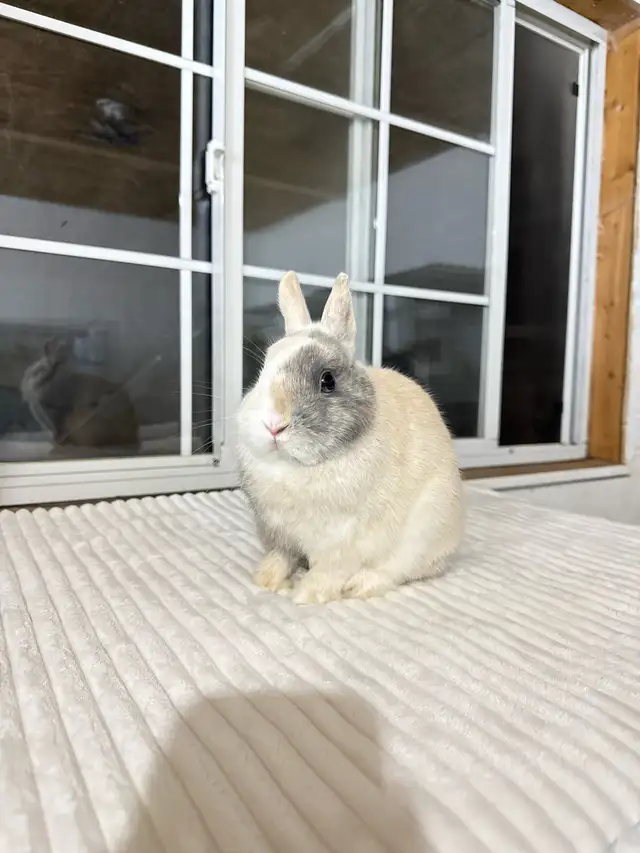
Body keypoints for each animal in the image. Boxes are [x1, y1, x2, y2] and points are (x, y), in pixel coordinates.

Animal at [236, 271, 464, 604]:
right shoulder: (278, 534)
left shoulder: (340, 541)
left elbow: (328, 572)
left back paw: (362, 585)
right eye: (263, 369)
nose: (273, 425)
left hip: (425, 531)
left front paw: (306, 595)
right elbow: (281, 557)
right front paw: (267, 581)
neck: (294, 467)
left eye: (327, 381)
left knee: (397, 570)